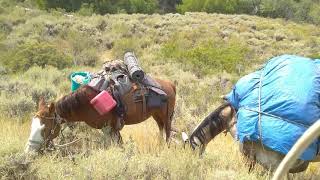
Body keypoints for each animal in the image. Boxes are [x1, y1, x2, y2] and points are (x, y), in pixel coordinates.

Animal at [24, 78, 176, 153]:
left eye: (44, 128)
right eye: (32, 125)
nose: (29, 150)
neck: (86, 103)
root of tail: (170, 84)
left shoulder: (109, 128)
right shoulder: (110, 129)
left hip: (166, 116)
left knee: (168, 133)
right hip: (156, 115)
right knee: (161, 129)